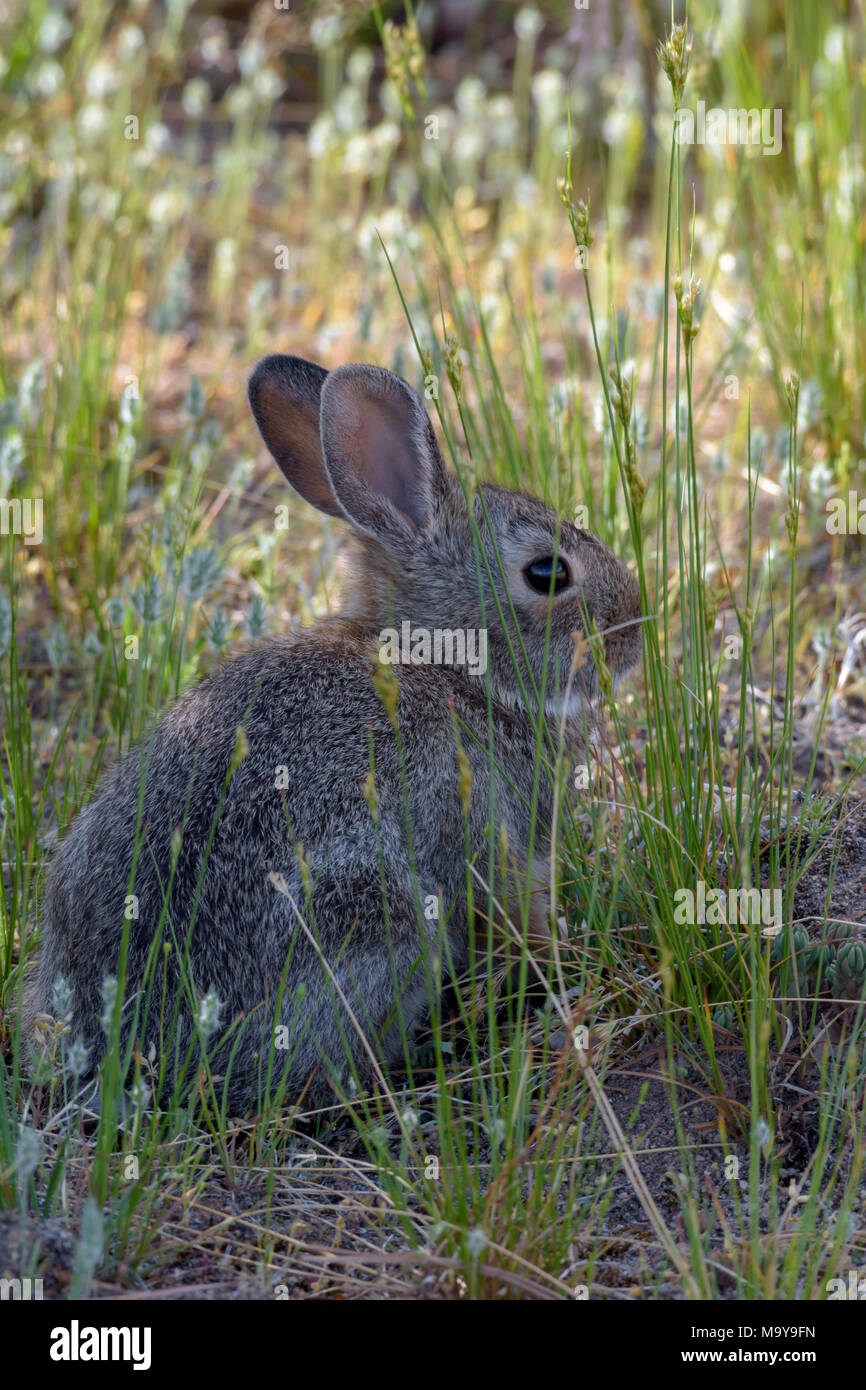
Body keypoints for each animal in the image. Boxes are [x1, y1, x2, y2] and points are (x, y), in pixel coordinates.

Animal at [25, 353, 644, 1112]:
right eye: (548, 573)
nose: (633, 629)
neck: (447, 666)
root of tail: (126, 1044)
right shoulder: (499, 845)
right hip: (378, 920)